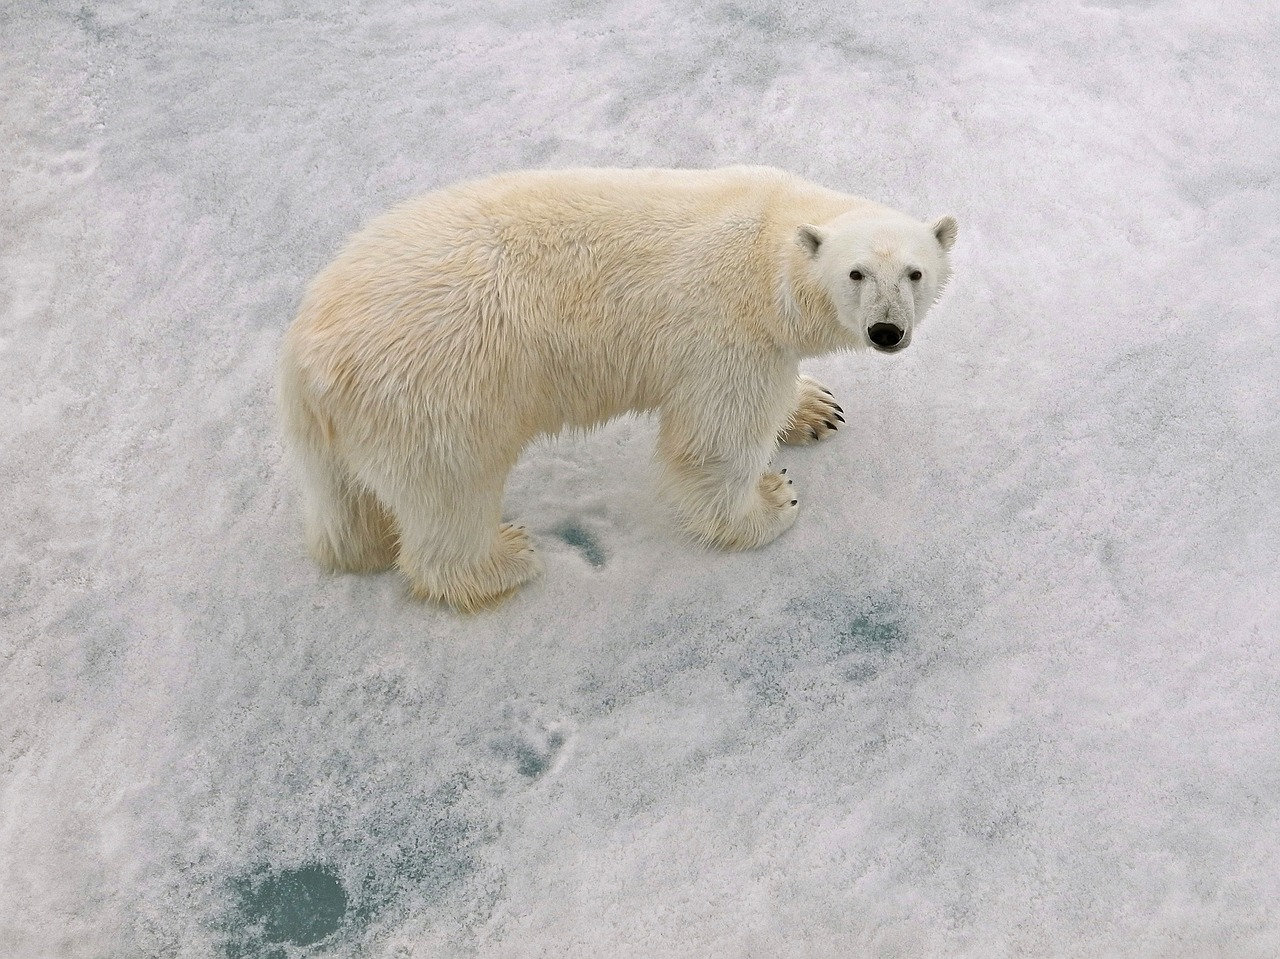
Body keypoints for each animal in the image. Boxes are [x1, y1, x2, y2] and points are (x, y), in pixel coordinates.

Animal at [280, 165, 962, 609]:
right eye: (856, 273)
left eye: (914, 272)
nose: (885, 330)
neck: (767, 242)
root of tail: (306, 357)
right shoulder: (726, 334)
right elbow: (713, 442)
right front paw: (772, 501)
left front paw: (817, 408)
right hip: (441, 390)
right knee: (452, 492)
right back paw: (505, 559)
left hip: (352, 420)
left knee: (346, 504)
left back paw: (364, 547)